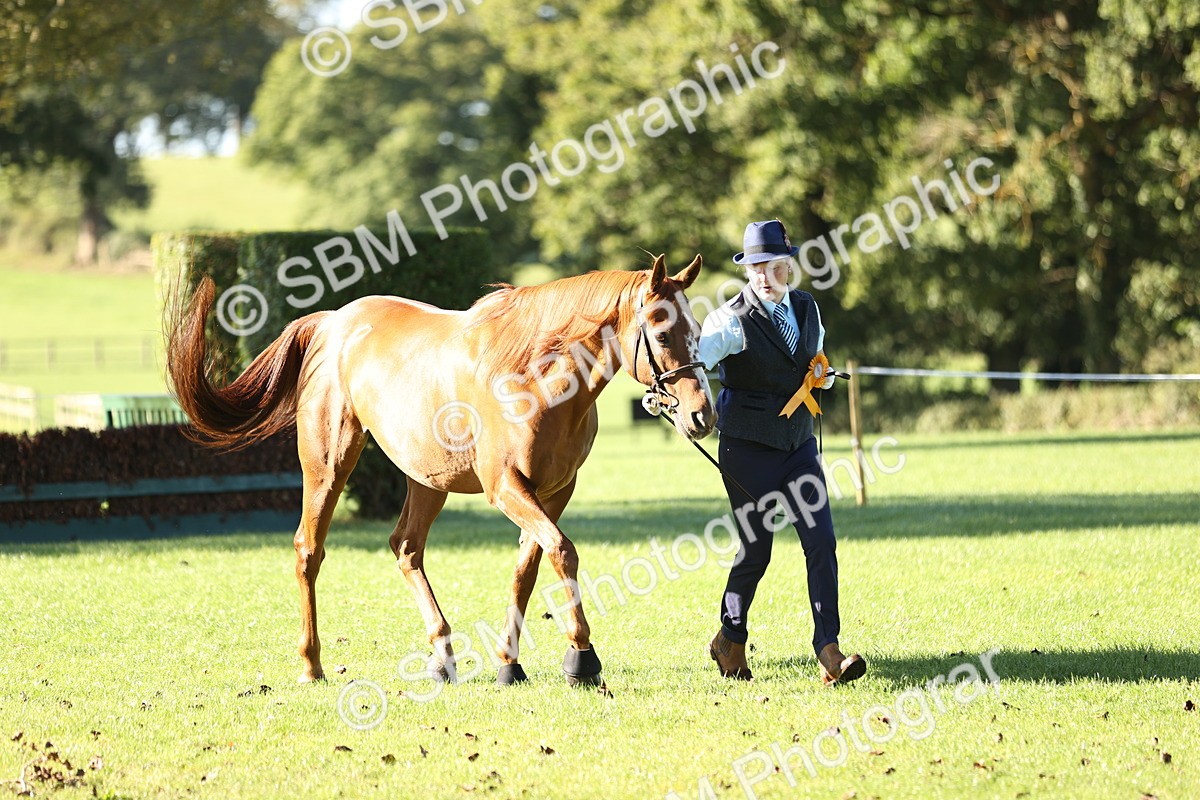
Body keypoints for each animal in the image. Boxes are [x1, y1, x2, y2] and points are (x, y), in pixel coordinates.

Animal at [165, 254, 715, 687]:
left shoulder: (555, 491)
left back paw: (442, 657)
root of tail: (332, 323)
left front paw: (510, 664)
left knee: (406, 548)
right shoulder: (507, 488)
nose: (701, 416)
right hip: (329, 463)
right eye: (662, 331)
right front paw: (582, 656)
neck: (535, 378)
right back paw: (312, 665)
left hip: (426, 479)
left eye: (698, 331)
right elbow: (562, 551)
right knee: (309, 551)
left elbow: (528, 569)